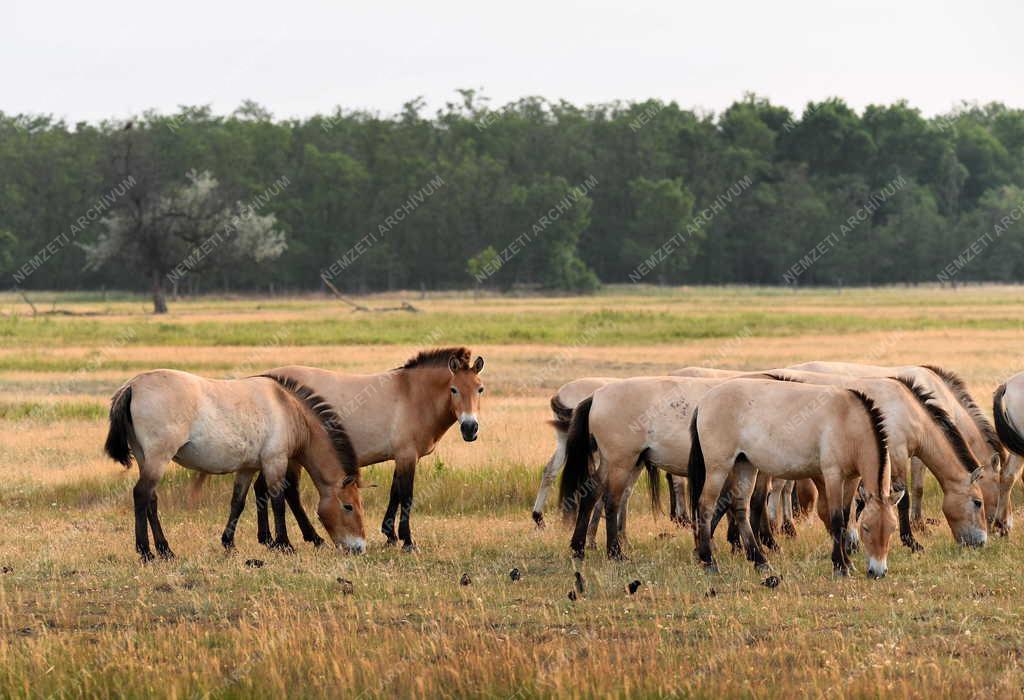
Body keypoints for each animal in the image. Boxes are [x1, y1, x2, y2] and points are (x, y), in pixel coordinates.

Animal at [101, 368, 366, 560]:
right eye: (348, 506)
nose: (359, 547)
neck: (288, 408)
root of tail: (132, 386)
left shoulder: (247, 468)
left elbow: (238, 502)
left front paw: (230, 543)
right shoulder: (275, 461)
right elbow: (278, 502)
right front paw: (285, 544)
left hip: (145, 458)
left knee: (151, 500)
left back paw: (165, 550)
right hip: (158, 458)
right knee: (141, 494)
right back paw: (146, 552)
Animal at [692, 380, 901, 577]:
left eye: (892, 529)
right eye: (866, 528)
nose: (878, 572)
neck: (848, 419)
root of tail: (703, 402)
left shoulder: (851, 479)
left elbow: (844, 516)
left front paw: (848, 563)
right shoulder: (833, 476)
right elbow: (837, 520)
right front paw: (840, 566)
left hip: (745, 465)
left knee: (740, 507)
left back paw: (760, 561)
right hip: (719, 468)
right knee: (706, 506)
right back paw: (709, 561)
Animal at [770, 368, 991, 548]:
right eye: (978, 502)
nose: (981, 542)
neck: (908, 410)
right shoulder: (897, 454)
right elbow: (903, 498)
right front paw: (910, 542)